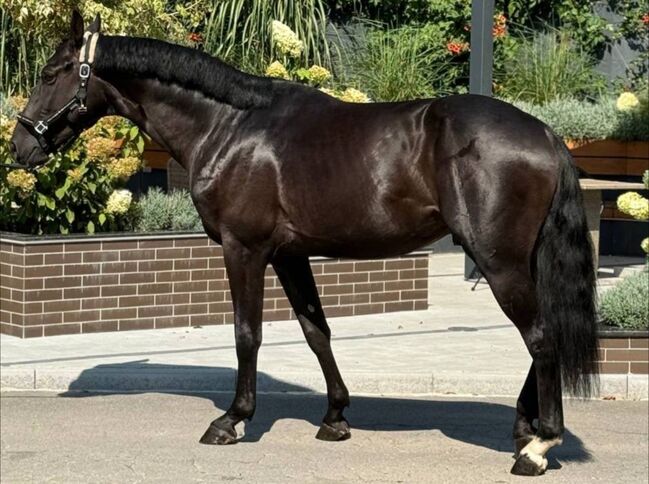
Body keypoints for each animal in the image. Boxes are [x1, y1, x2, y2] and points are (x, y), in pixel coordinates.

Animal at [10, 11, 598, 476]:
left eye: (49, 74)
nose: (19, 147)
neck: (230, 126)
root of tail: (547, 134)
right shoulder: (291, 255)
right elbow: (317, 332)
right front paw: (335, 416)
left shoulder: (244, 249)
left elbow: (247, 335)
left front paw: (232, 420)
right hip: (516, 261)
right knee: (542, 334)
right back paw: (525, 428)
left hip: (497, 261)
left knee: (540, 337)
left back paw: (539, 446)